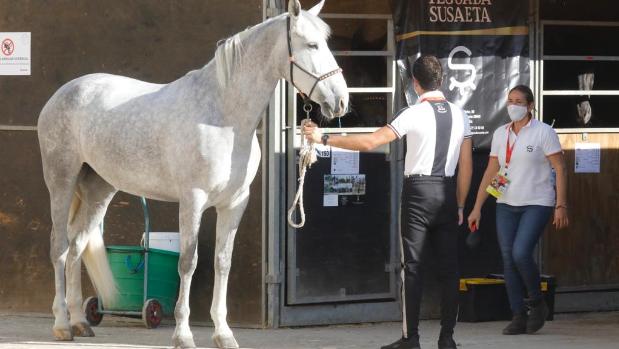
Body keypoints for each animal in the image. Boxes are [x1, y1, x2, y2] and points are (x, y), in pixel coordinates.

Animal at [37, 0, 348, 346]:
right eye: (312, 45)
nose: (341, 101)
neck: (224, 116)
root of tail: (64, 92)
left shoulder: (235, 203)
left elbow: (222, 263)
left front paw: (224, 334)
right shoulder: (193, 200)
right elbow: (188, 262)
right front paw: (183, 335)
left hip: (99, 190)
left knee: (77, 245)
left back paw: (80, 322)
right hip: (61, 181)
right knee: (60, 246)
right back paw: (62, 324)